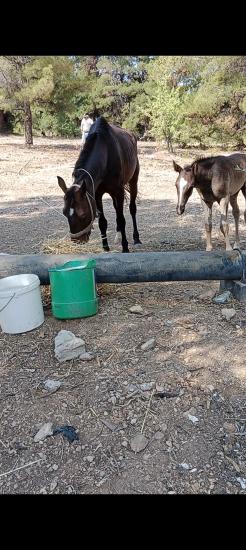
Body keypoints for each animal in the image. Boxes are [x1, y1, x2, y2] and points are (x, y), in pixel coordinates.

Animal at [57, 117, 140, 256]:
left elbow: (121, 219)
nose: (77, 241)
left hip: (133, 180)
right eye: (64, 213)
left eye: (83, 214)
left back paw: (136, 238)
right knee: (116, 208)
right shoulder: (96, 194)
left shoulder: (118, 191)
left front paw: (125, 247)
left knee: (132, 209)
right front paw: (105, 246)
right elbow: (102, 222)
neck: (105, 154)